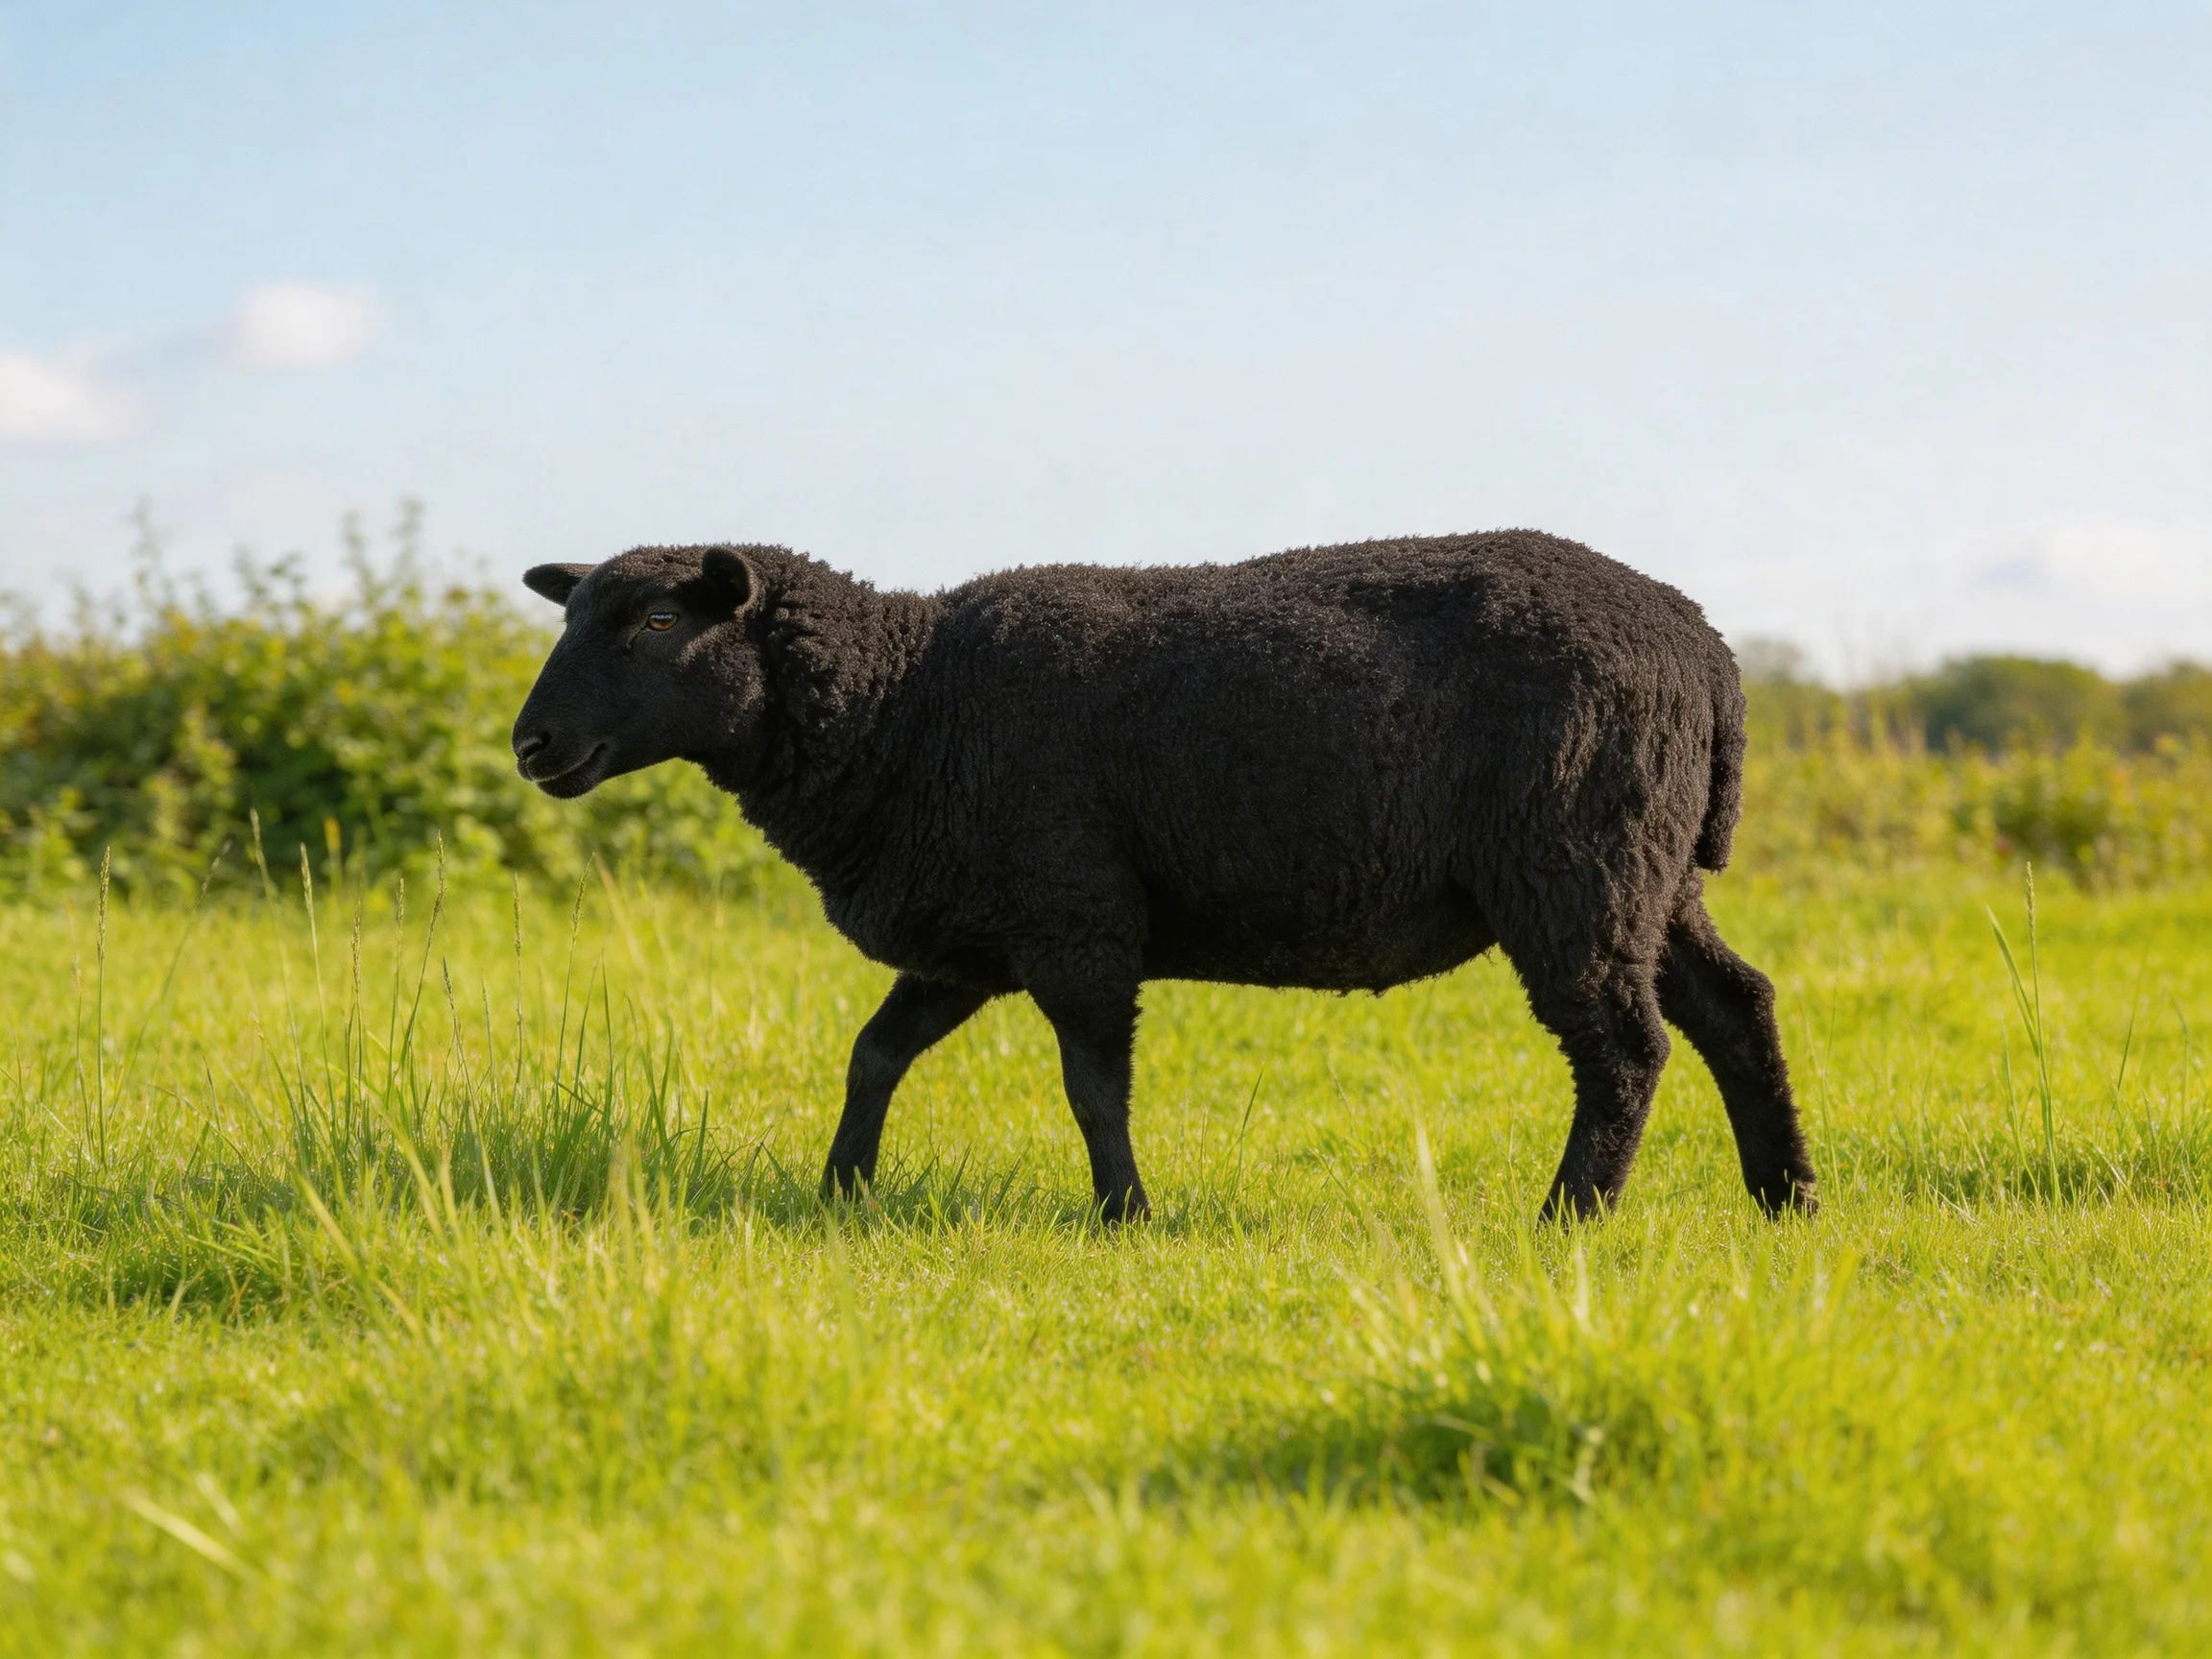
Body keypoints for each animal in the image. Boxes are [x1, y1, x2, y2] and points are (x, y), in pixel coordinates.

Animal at [511, 531, 1817, 1223]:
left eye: (659, 620)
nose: (530, 745)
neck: (905, 704)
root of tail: (1705, 648)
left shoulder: (1075, 921)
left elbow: (1093, 1086)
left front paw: (1123, 1216)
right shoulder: (975, 934)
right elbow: (874, 1054)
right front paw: (843, 1193)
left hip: (1575, 864)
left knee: (1627, 1047)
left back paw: (1570, 1219)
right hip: (1651, 871)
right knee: (1736, 1008)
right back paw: (1784, 1197)